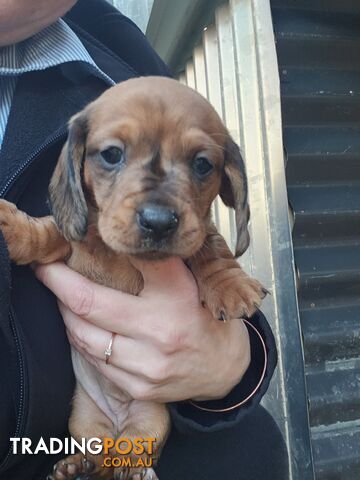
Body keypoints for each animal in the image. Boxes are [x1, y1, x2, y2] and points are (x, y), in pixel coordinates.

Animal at [0, 77, 266, 478]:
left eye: (202, 164)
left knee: (131, 455)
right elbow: (49, 232)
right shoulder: (70, 242)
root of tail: (117, 422)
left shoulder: (200, 232)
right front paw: (14, 229)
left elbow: (210, 247)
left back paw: (132, 470)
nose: (158, 221)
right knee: (101, 459)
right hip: (86, 422)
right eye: (111, 154)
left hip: (152, 421)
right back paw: (78, 467)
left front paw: (230, 284)